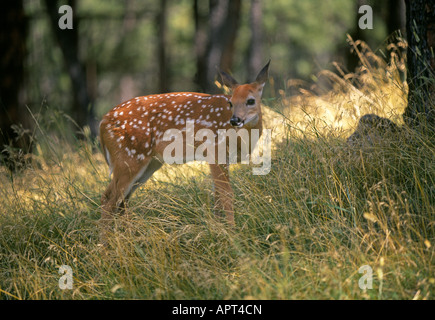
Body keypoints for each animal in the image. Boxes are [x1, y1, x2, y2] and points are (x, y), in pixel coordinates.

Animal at [99, 60, 270, 241]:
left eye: (251, 101)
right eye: (230, 102)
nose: (235, 120)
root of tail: (102, 123)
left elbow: (217, 196)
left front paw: (218, 230)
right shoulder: (215, 149)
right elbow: (226, 194)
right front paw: (233, 233)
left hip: (149, 163)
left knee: (122, 201)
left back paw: (128, 239)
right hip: (128, 158)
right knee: (109, 199)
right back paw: (105, 244)